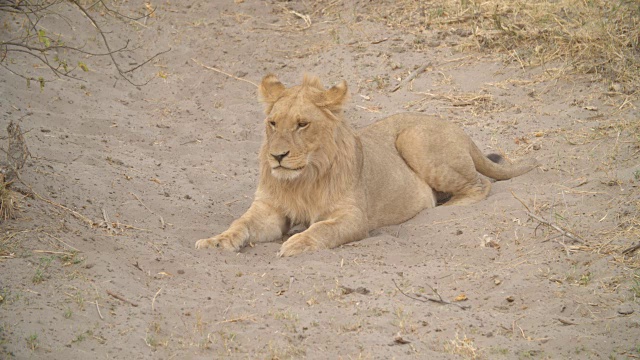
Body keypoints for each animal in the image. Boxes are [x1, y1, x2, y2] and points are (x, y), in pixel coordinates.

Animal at [196, 74, 540, 258]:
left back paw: (440, 208)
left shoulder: (353, 217)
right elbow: (240, 224)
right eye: (273, 123)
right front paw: (216, 241)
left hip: (413, 138)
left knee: (481, 184)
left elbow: (322, 228)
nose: (277, 156)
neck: (304, 178)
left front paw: (298, 242)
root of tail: (458, 128)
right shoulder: (268, 210)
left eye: (302, 124)